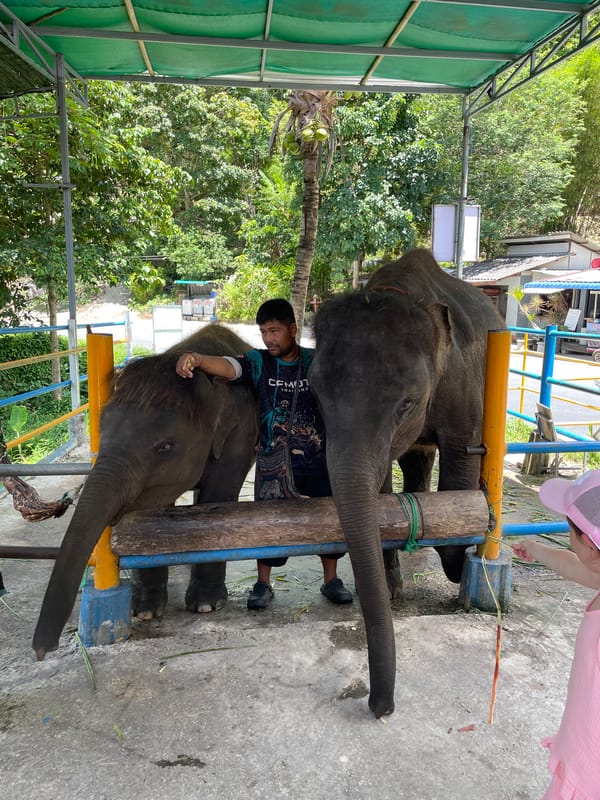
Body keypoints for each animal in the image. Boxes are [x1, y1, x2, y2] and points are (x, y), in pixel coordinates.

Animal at [33, 324, 258, 661]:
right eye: (101, 433)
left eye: (165, 447)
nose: (42, 650)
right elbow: (151, 511)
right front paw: (145, 612)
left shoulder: (240, 434)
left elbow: (217, 497)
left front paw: (206, 606)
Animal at [308, 248, 505, 718]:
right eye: (314, 394)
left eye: (407, 403)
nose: (381, 706)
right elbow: (379, 488)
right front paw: (394, 590)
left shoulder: (461, 384)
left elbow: (461, 461)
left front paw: (464, 556)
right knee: (417, 463)